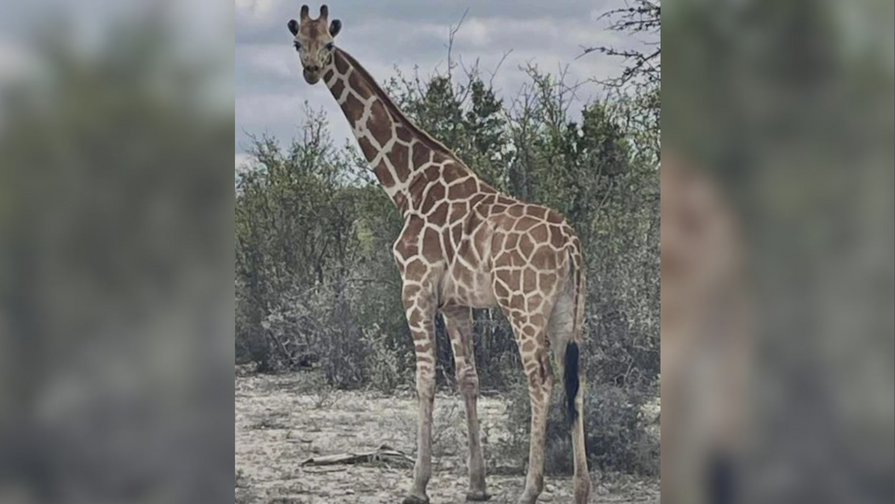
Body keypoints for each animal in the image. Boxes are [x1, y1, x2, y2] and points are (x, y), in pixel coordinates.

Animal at [288, 6, 591, 503]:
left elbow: (425, 378)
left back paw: (531, 489)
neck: (407, 185)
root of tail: (571, 245)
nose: (311, 70)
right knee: (575, 381)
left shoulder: (415, 288)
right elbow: (469, 379)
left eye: (328, 45)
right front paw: (476, 486)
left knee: (541, 380)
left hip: (525, 309)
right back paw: (582, 488)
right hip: (570, 311)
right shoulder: (456, 303)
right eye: (299, 43)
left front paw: (417, 485)